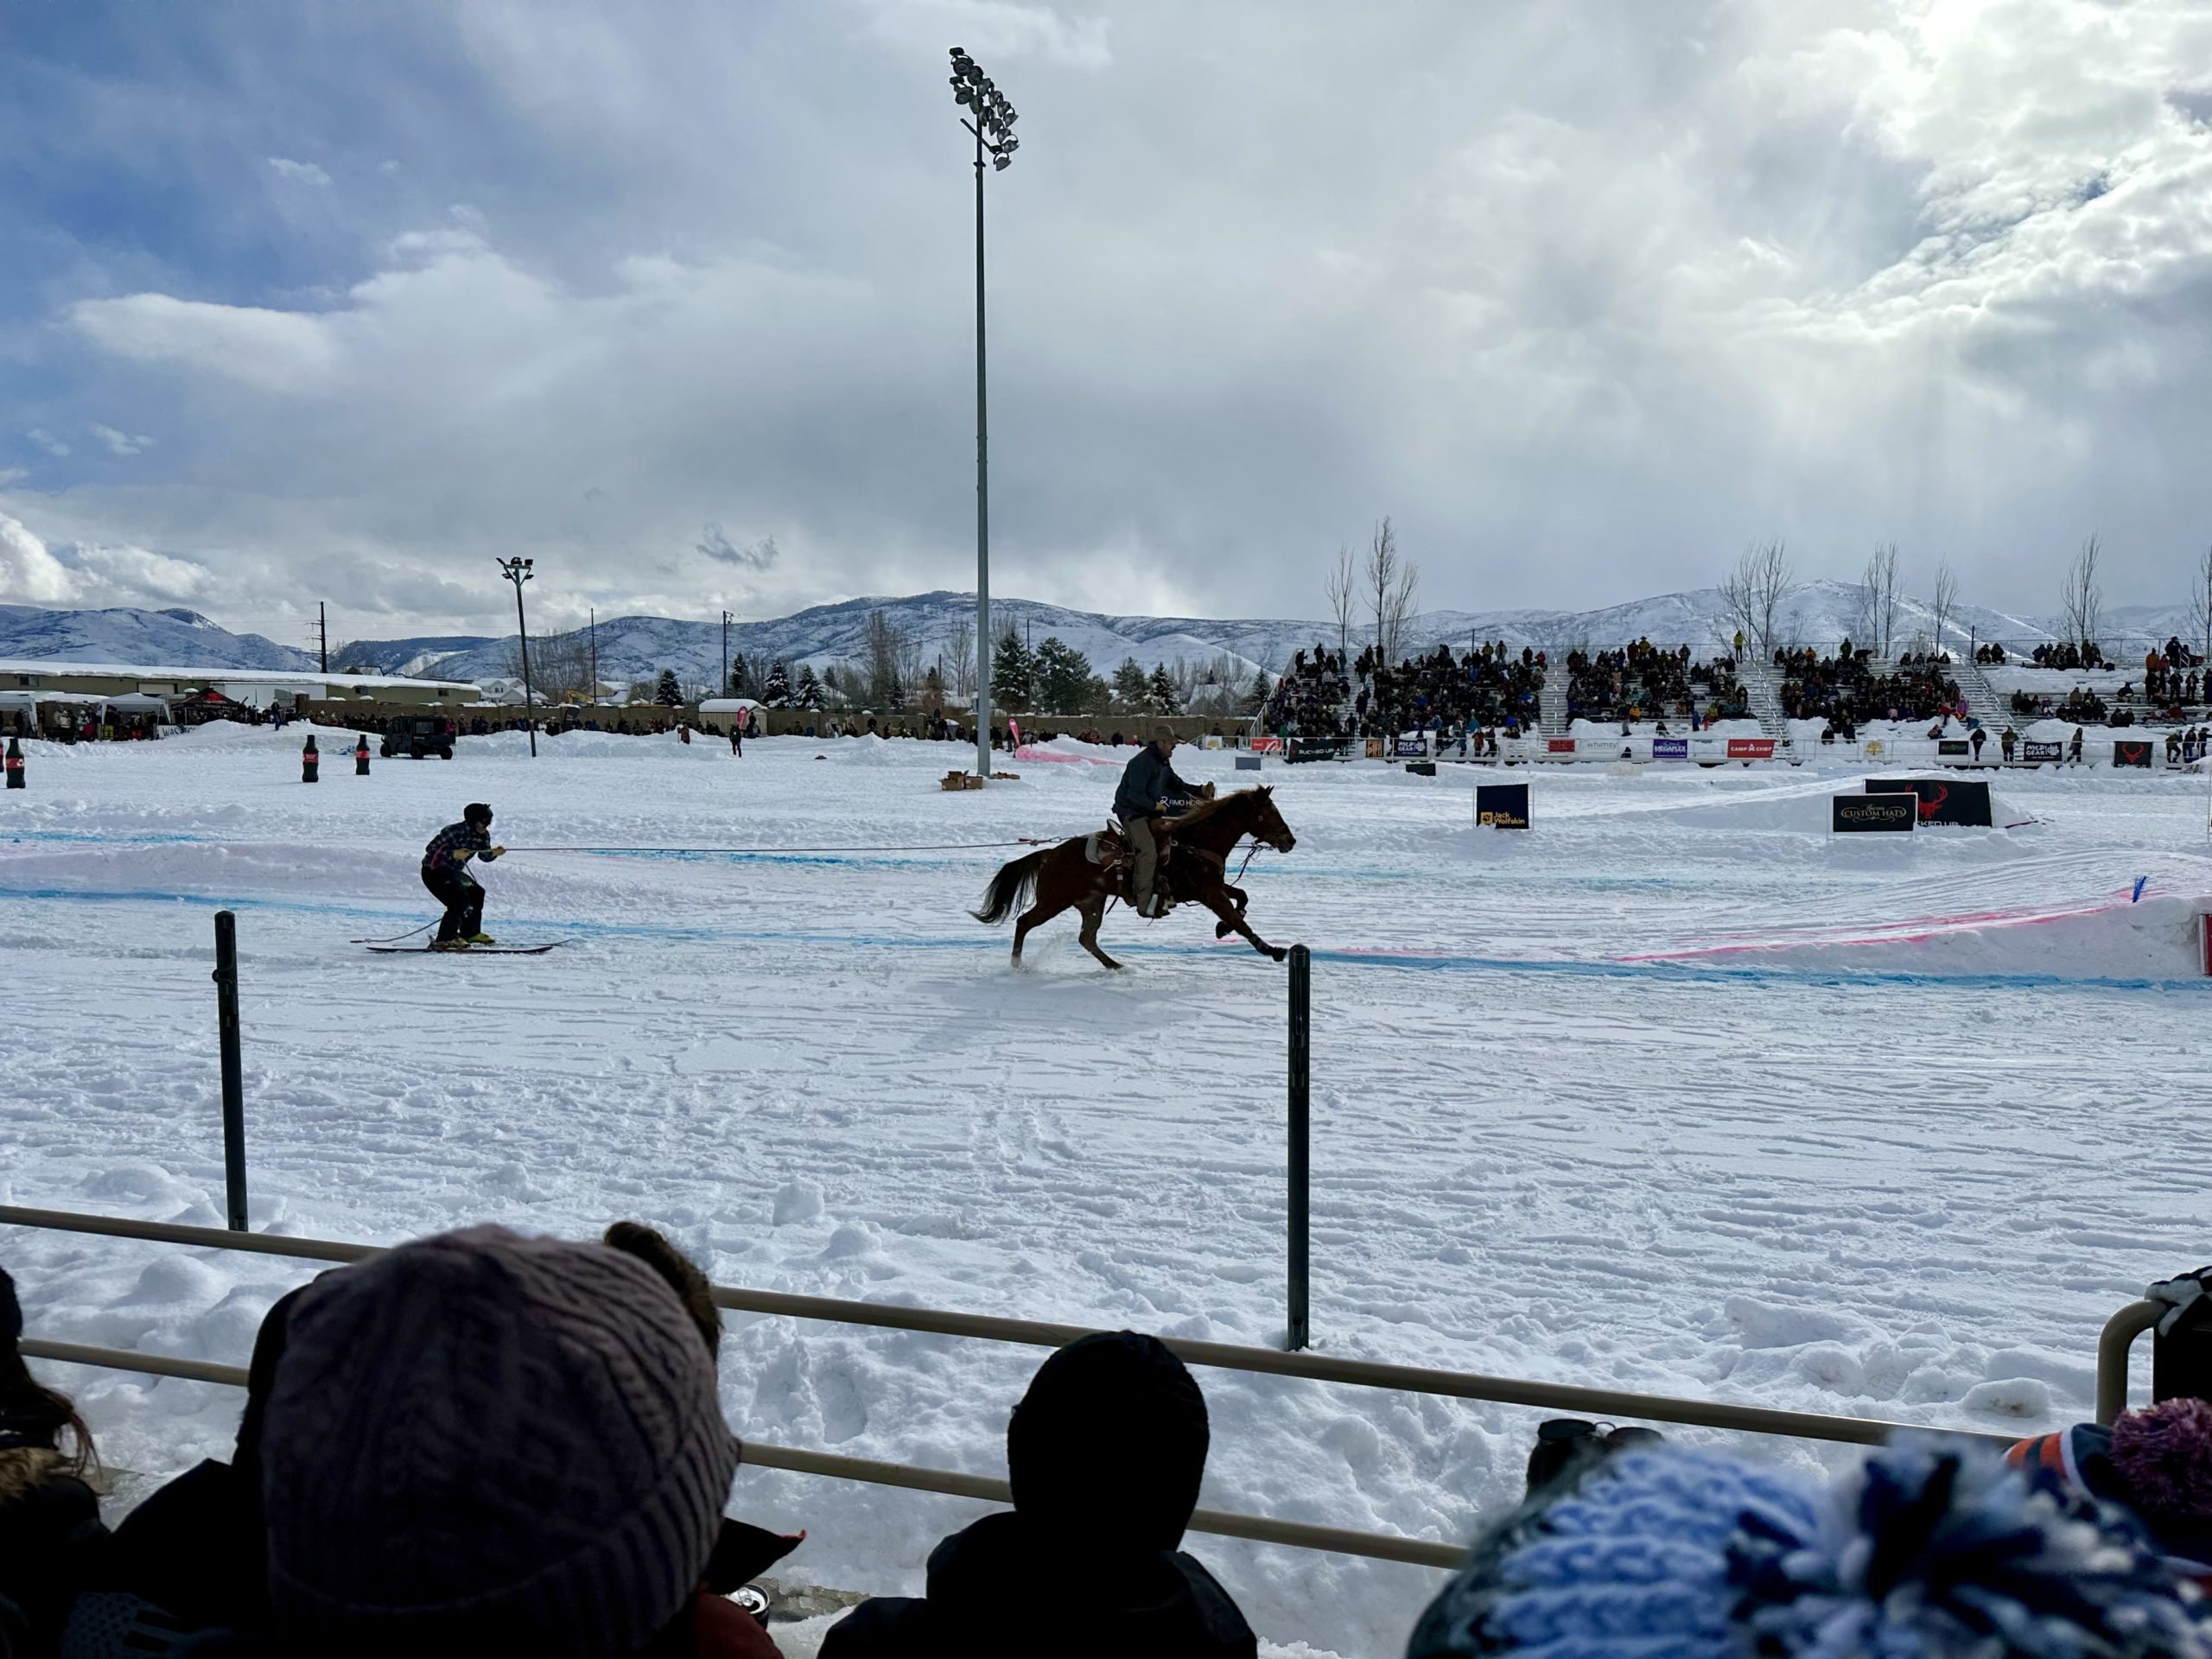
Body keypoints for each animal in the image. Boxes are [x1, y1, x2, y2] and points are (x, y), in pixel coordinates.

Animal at [969, 787, 1292, 969]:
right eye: (1269, 813)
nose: (1291, 841)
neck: (1196, 843)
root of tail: (1049, 854)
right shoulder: (1208, 893)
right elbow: (1239, 920)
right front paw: (1272, 950)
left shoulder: (1214, 887)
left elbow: (1243, 898)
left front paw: (1223, 929)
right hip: (1054, 901)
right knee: (1024, 923)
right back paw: (1017, 965)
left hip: (1092, 903)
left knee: (1087, 938)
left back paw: (1115, 966)